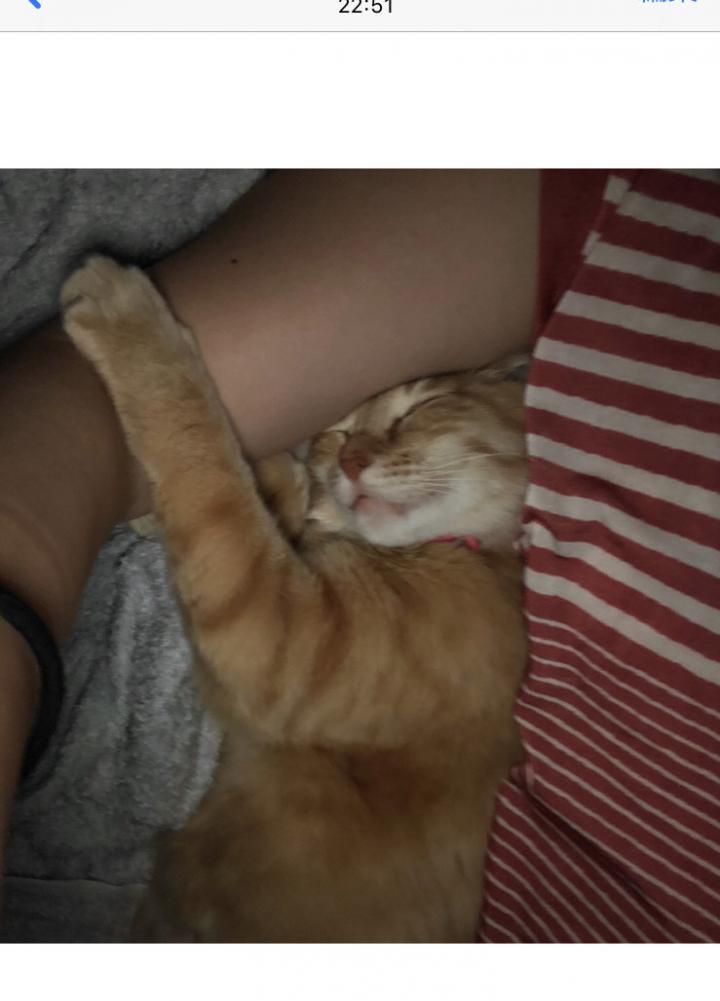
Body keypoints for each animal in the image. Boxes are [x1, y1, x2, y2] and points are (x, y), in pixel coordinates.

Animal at [61, 255, 528, 943]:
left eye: (424, 409)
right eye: (338, 432)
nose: (351, 461)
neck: (469, 556)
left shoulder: (279, 634)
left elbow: (207, 464)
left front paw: (133, 325)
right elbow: (268, 497)